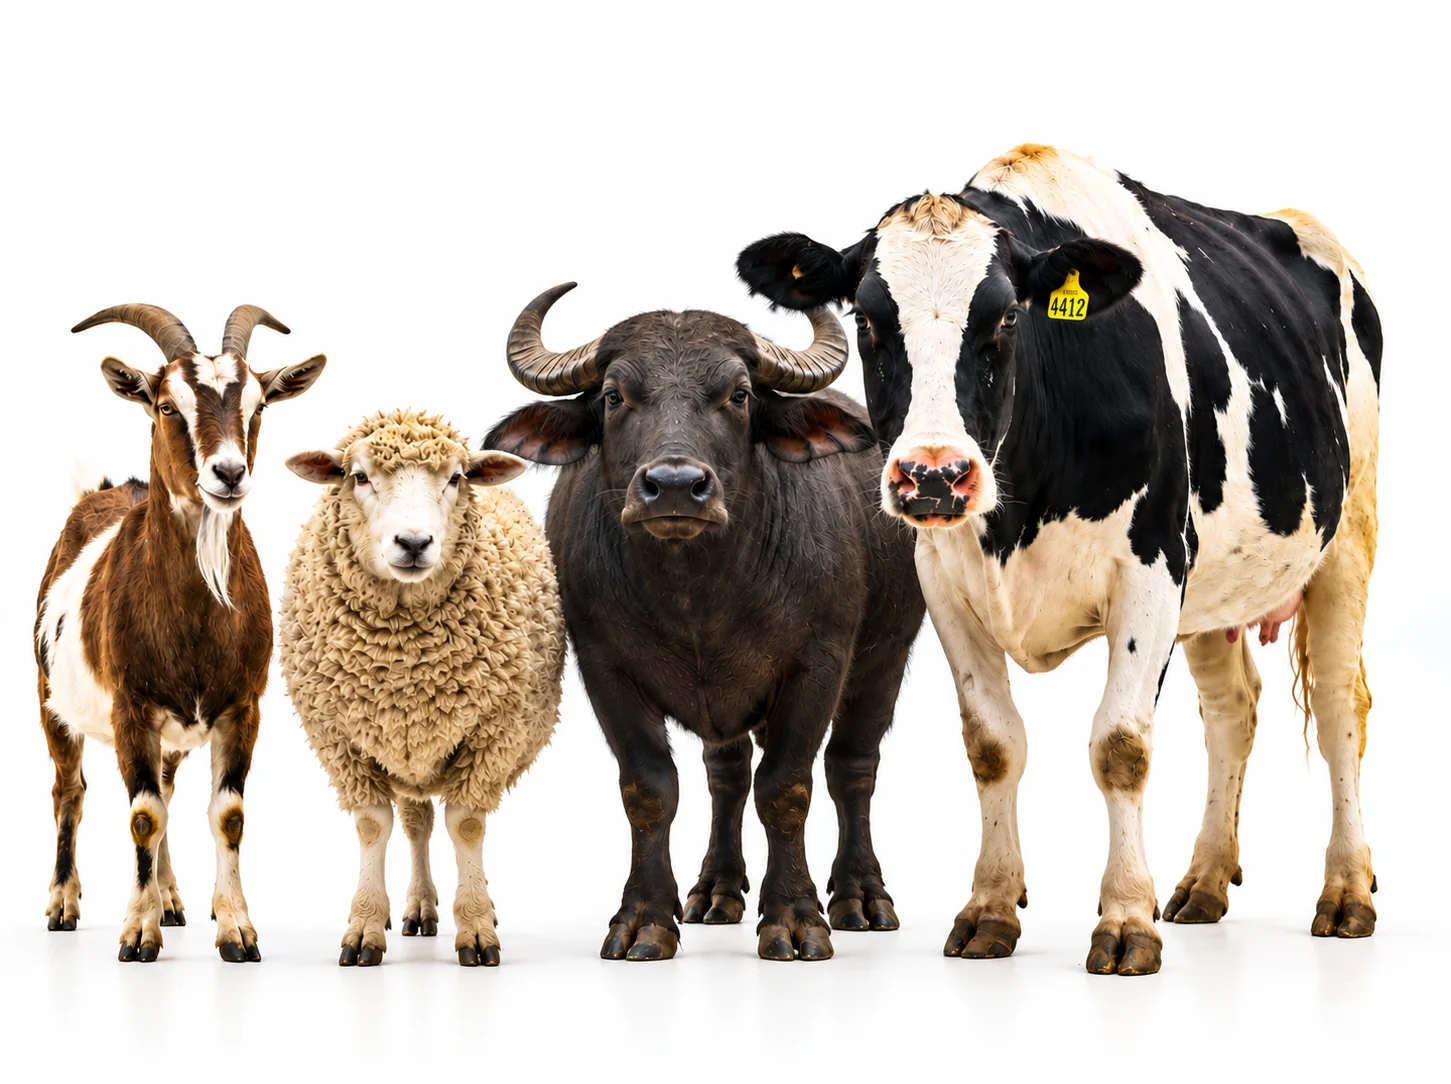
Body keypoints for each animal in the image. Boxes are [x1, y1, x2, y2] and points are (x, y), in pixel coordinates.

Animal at [279, 408, 564, 967]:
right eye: (359, 476)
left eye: (456, 478)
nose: (413, 544)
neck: (405, 662)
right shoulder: (340, 739)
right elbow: (374, 826)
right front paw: (365, 926)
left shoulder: (493, 736)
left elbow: (467, 825)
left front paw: (476, 927)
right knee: (415, 824)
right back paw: (418, 907)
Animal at [485, 284, 925, 962]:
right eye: (614, 396)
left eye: (738, 395)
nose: (673, 486)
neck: (696, 598)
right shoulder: (602, 666)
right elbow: (649, 788)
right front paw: (644, 919)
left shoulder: (820, 662)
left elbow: (787, 787)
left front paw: (794, 918)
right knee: (728, 774)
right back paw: (716, 890)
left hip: (886, 656)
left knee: (852, 767)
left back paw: (861, 897)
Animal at [738, 144, 1382, 976]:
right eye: (869, 320)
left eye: (1007, 317)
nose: (934, 476)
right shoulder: (944, 581)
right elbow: (992, 744)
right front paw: (989, 906)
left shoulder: (1151, 571)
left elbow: (1120, 746)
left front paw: (1126, 919)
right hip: (1216, 585)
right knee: (1231, 709)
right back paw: (1204, 880)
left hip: (1347, 535)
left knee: (1339, 707)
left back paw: (1346, 890)